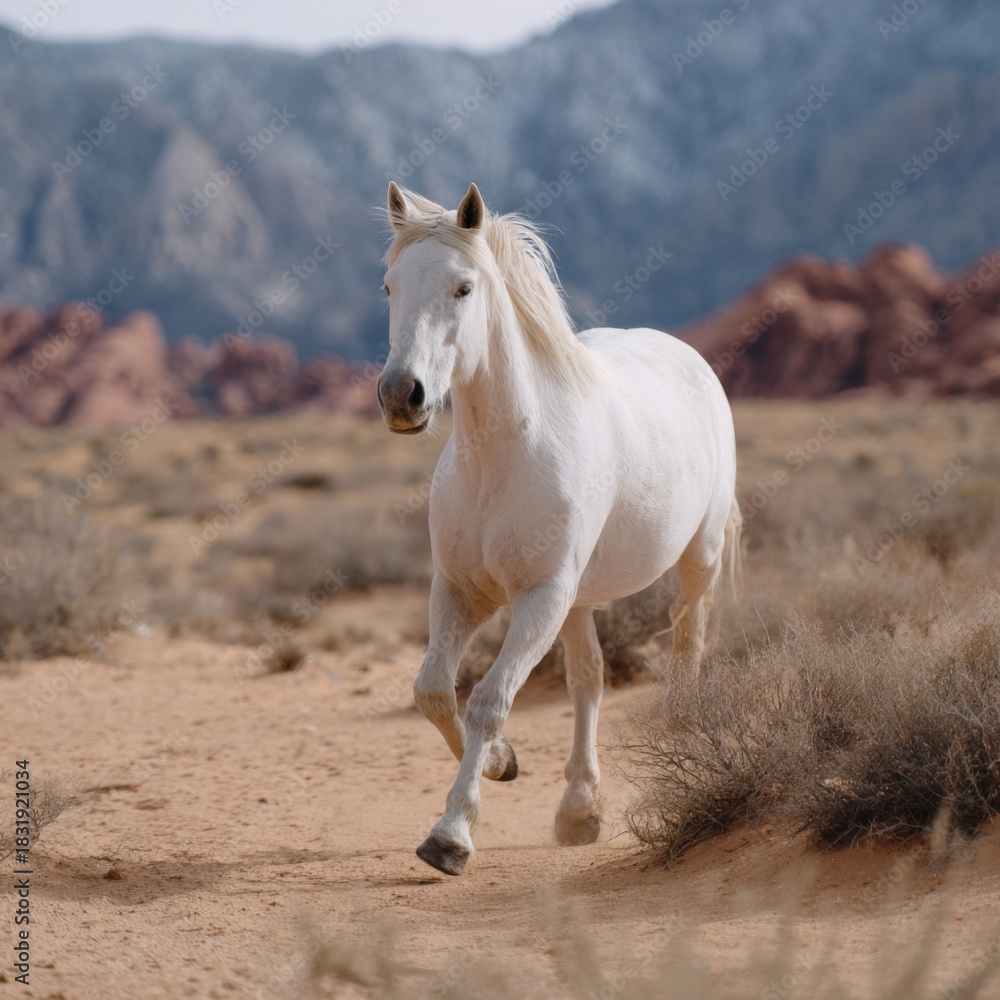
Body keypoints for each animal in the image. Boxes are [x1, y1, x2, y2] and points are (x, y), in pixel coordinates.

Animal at [376, 182, 740, 876]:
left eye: (464, 287)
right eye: (389, 286)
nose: (401, 395)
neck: (502, 456)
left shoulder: (540, 595)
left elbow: (489, 700)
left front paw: (451, 836)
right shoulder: (461, 591)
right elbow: (435, 692)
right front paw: (501, 763)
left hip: (696, 560)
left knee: (688, 640)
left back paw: (686, 735)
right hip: (578, 599)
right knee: (589, 679)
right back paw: (579, 809)